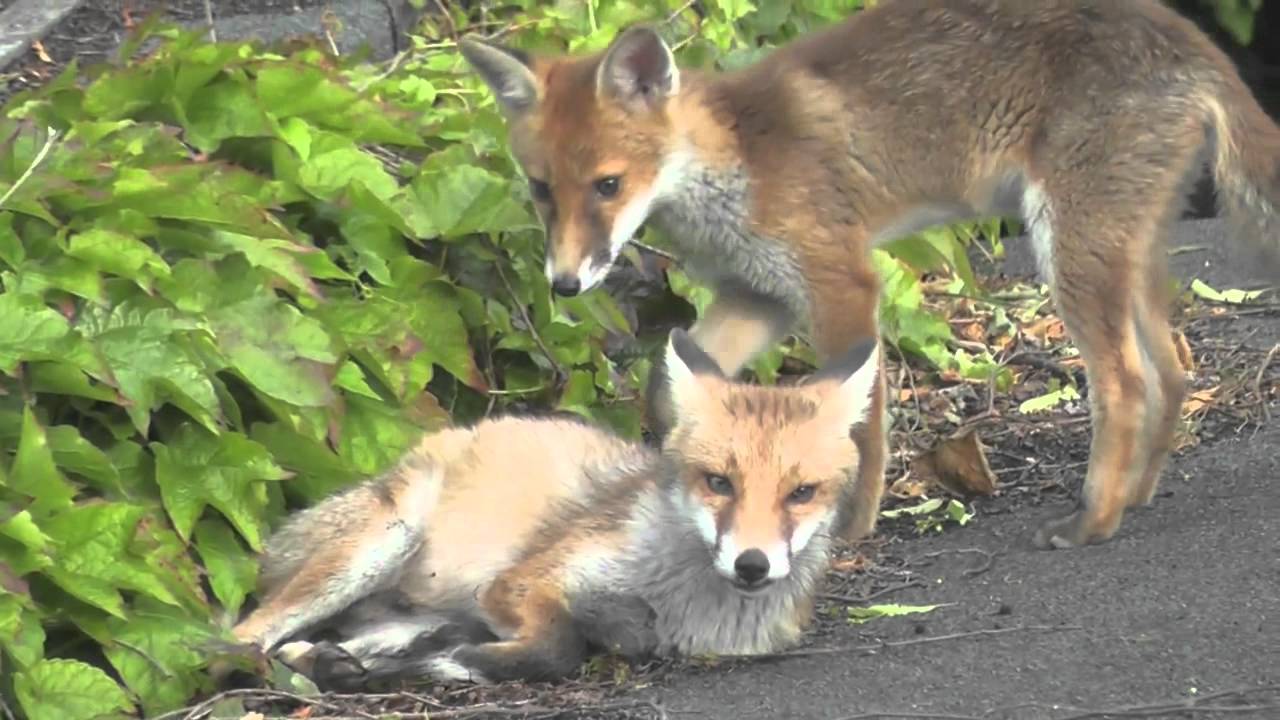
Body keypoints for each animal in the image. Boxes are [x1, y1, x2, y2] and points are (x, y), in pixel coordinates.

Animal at [227, 329, 880, 688]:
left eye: (801, 493)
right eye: (719, 482)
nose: (752, 565)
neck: (676, 599)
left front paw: (453, 664)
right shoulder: (519, 582)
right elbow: (560, 647)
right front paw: (475, 662)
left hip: (409, 611)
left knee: (326, 645)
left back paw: (339, 664)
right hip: (380, 542)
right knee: (244, 639)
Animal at [457, 0, 1280, 550]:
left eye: (607, 186)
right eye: (541, 190)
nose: (565, 285)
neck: (734, 167)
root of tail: (1191, 39)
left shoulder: (841, 281)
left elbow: (856, 425)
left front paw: (848, 526)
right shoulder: (761, 294)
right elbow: (671, 391)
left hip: (1070, 250)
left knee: (1127, 383)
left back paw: (1093, 522)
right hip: (1120, 250)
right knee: (1174, 367)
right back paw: (1137, 498)